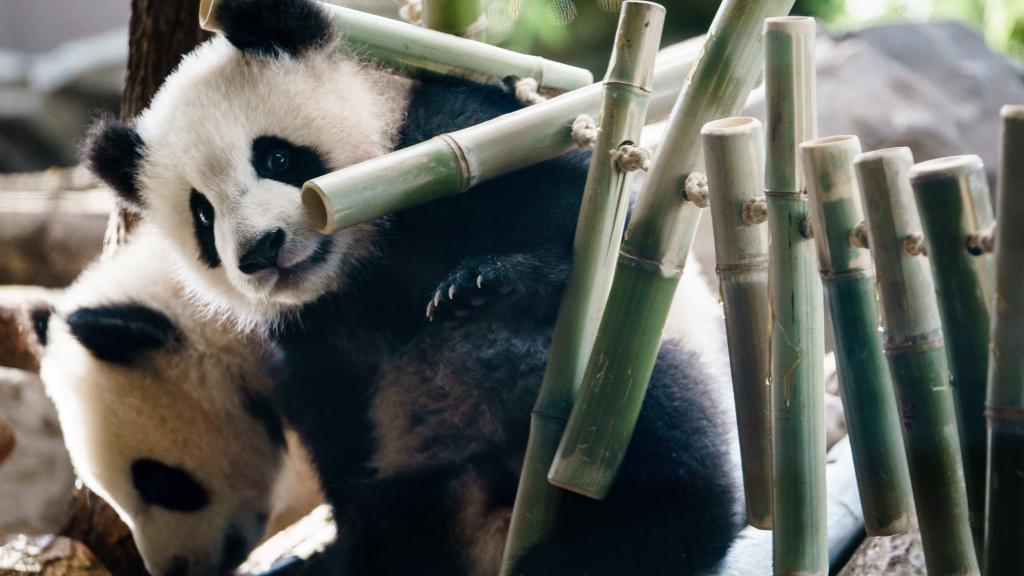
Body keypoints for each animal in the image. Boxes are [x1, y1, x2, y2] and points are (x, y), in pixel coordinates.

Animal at [79, 0, 737, 569]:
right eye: (202, 215)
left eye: (277, 159)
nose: (261, 250)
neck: (364, 260)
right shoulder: (314, 339)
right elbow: (344, 445)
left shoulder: (462, 140)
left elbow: (591, 226)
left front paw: (482, 285)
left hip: (615, 395)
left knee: (652, 434)